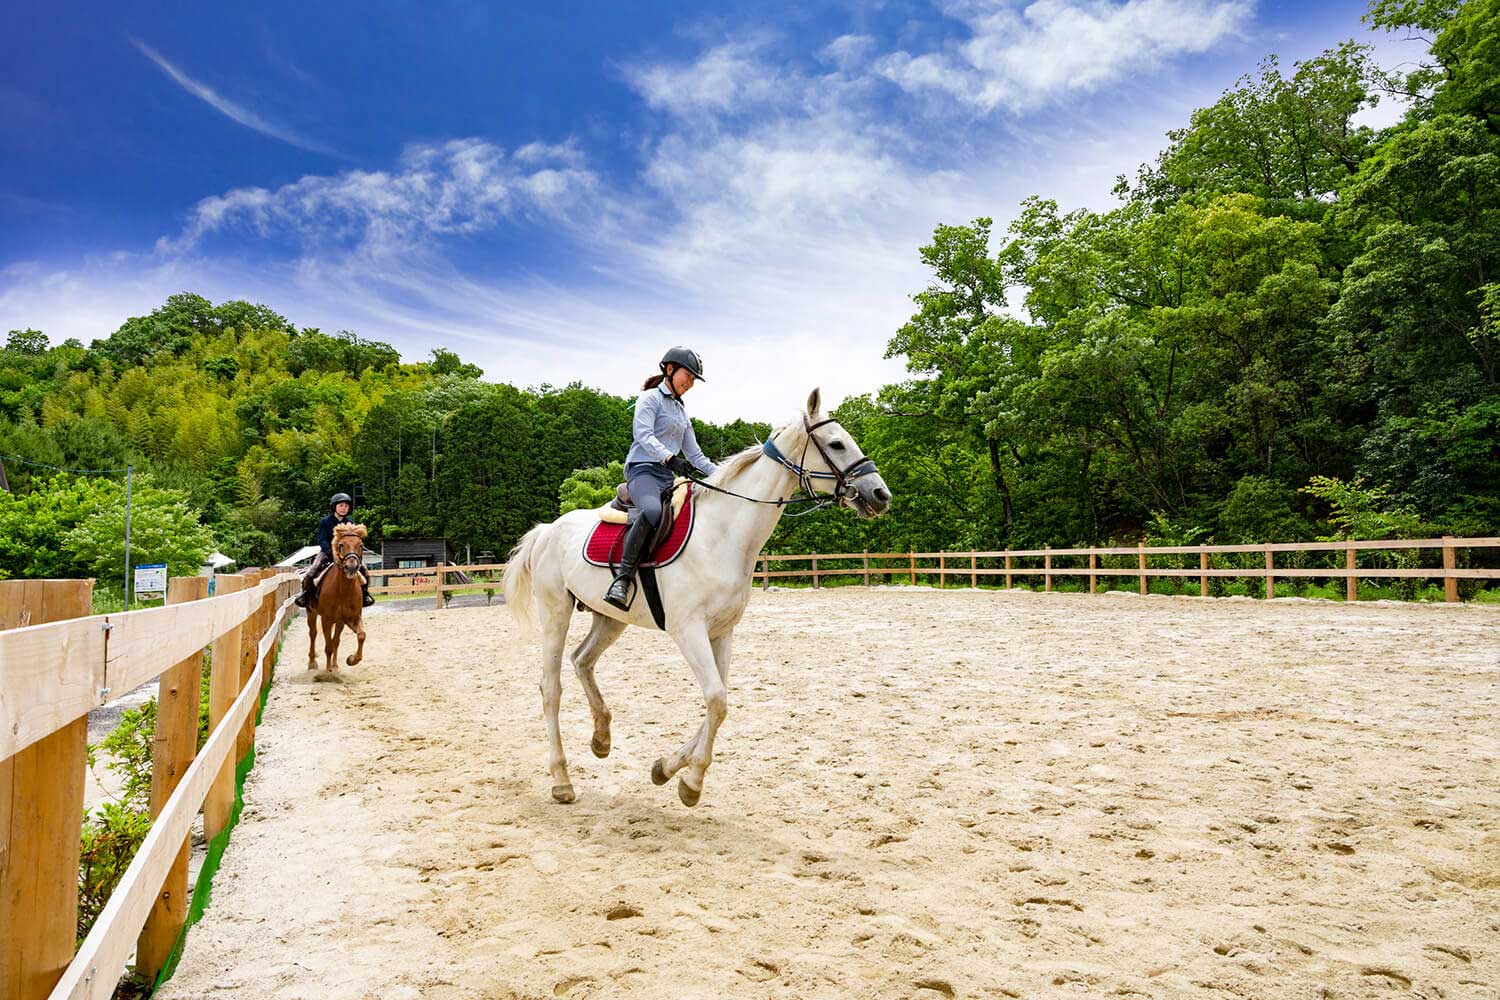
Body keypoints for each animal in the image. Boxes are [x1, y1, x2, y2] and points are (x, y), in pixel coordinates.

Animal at [303, 521, 364, 677]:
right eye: (341, 544)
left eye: (360, 545)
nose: (351, 567)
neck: (343, 591)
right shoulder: (326, 619)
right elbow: (328, 646)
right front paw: (328, 671)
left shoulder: (350, 618)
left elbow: (360, 635)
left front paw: (351, 660)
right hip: (311, 613)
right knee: (313, 634)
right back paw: (312, 663)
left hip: (338, 621)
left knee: (334, 640)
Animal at [504, 389, 888, 803]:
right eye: (836, 443)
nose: (880, 494)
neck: (722, 534)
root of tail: (547, 530)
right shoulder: (688, 630)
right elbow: (717, 700)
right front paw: (691, 781)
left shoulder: (721, 632)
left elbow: (718, 701)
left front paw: (668, 768)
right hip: (556, 613)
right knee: (551, 688)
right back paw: (562, 780)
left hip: (610, 619)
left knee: (582, 661)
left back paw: (601, 739)